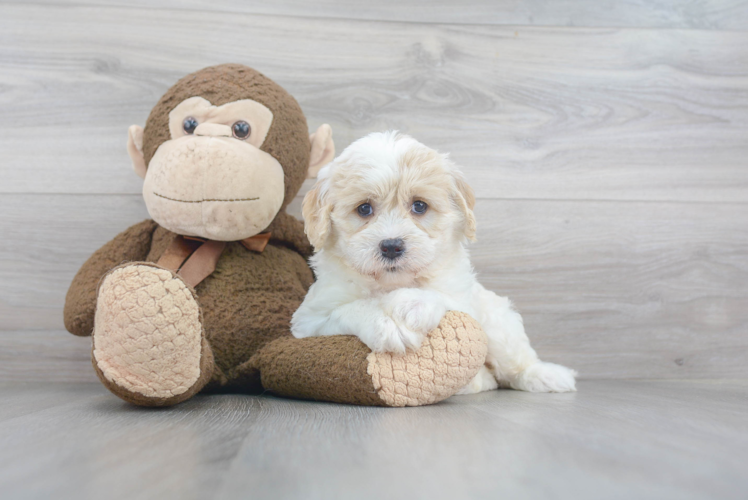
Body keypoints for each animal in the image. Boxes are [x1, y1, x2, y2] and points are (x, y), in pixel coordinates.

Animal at [290, 131, 576, 392]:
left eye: (419, 206)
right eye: (364, 208)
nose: (391, 246)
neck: (391, 283)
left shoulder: (462, 299)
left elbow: (439, 296)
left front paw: (410, 303)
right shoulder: (309, 322)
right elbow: (348, 309)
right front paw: (385, 323)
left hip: (498, 324)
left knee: (514, 362)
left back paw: (547, 376)